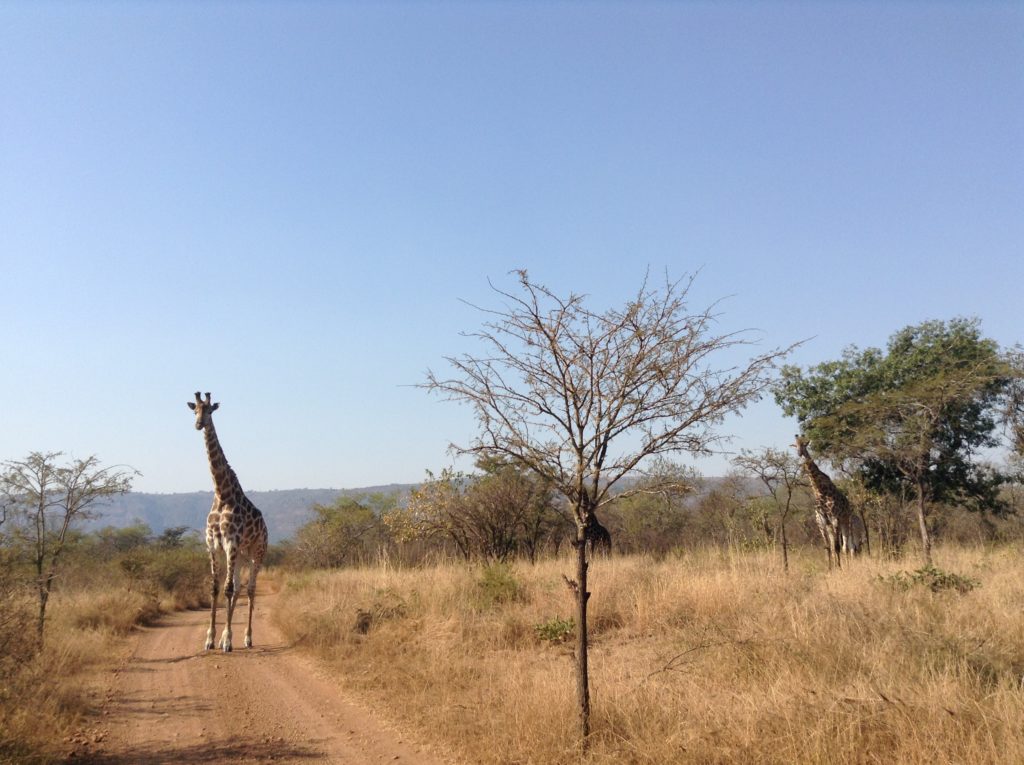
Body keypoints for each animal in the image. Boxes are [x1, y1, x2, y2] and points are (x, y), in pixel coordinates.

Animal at [188, 395, 268, 651]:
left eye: (210, 411)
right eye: (195, 410)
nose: (198, 424)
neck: (222, 493)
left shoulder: (231, 542)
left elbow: (228, 588)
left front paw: (227, 640)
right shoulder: (213, 544)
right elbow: (216, 588)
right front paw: (211, 639)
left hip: (256, 552)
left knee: (249, 589)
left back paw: (247, 638)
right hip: (240, 554)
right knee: (237, 587)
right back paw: (227, 637)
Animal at [794, 436, 860, 569]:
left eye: (804, 444)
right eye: (795, 445)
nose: (799, 453)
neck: (820, 491)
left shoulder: (835, 518)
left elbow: (837, 546)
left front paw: (839, 567)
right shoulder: (822, 522)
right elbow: (828, 547)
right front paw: (830, 568)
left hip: (845, 521)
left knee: (847, 546)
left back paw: (847, 565)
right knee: (840, 546)